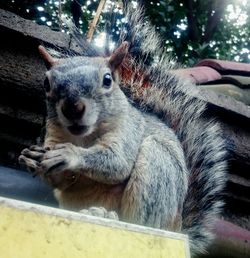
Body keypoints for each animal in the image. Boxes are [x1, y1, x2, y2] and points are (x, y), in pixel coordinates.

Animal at [19, 5, 227, 255]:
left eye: (107, 80)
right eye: (46, 83)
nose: (73, 108)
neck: (83, 137)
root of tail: (178, 229)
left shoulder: (129, 129)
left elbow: (118, 162)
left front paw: (70, 154)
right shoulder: (53, 134)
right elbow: (59, 179)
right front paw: (30, 157)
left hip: (156, 173)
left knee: (140, 222)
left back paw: (109, 216)